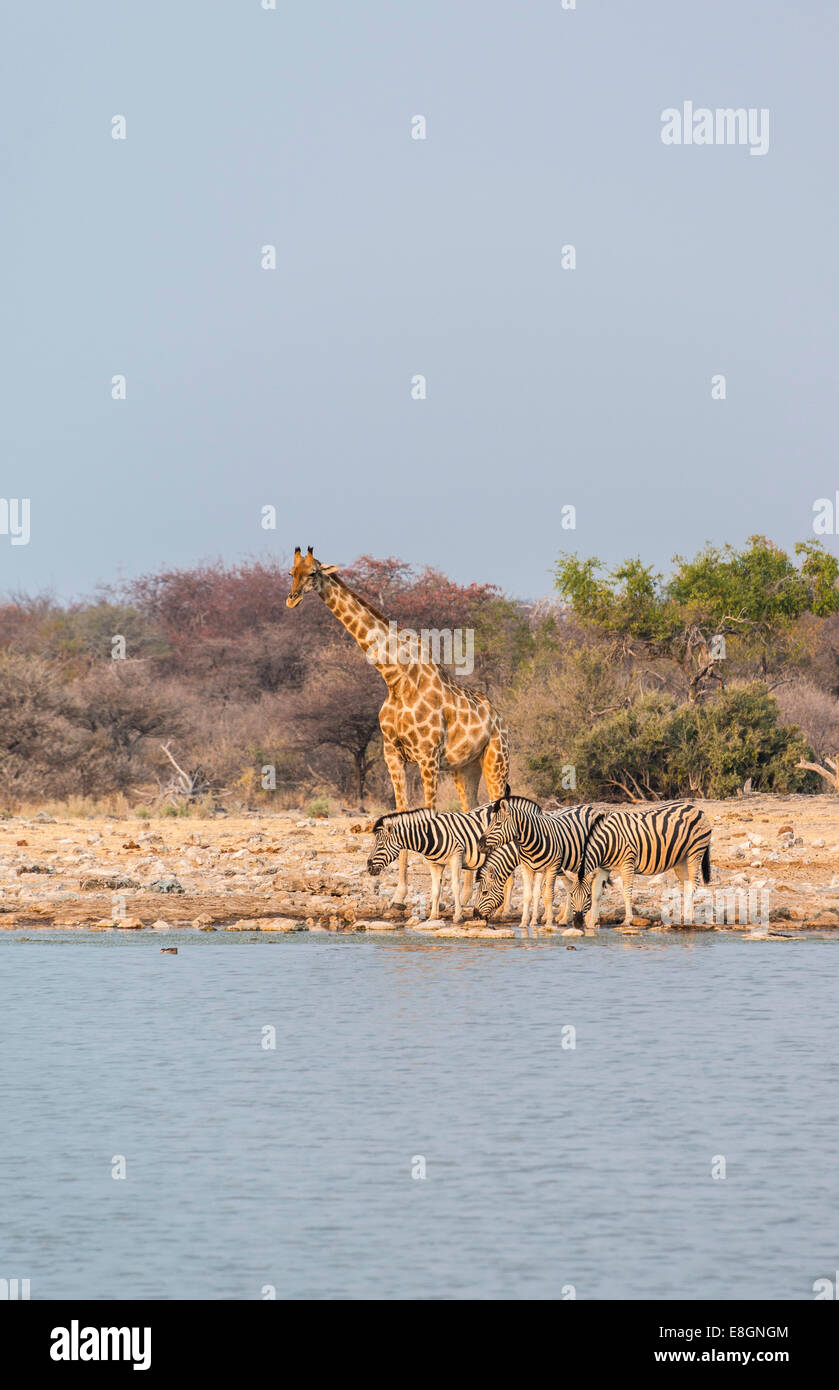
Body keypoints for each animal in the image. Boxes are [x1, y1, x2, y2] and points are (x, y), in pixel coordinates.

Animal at [286, 547, 511, 906]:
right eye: (291, 572)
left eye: (313, 573)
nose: (291, 599)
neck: (395, 677)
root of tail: (499, 718)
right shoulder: (393, 754)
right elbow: (401, 813)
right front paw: (401, 894)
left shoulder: (427, 757)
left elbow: (430, 819)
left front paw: (438, 898)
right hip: (465, 769)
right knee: (472, 812)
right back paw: (467, 894)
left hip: (496, 761)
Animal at [369, 806, 516, 922]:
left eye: (380, 845)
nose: (369, 867)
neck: (431, 836)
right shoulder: (435, 864)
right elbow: (435, 890)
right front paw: (433, 916)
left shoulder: (456, 858)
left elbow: (455, 887)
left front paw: (458, 916)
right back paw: (500, 912)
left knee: (509, 883)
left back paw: (505, 913)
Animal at [475, 800, 600, 928]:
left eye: (484, 893)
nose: (476, 916)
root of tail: (589, 808)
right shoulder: (531, 868)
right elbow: (532, 894)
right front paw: (529, 921)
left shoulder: (551, 867)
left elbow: (547, 894)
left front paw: (548, 921)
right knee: (572, 886)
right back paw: (566, 918)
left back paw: (589, 919)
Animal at [566, 800, 711, 928]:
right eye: (571, 894)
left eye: (587, 896)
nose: (577, 924)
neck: (607, 842)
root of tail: (696, 808)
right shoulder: (604, 868)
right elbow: (597, 892)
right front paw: (591, 923)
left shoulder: (628, 863)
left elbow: (626, 891)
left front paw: (627, 920)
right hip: (680, 860)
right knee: (688, 884)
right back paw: (688, 917)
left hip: (695, 851)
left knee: (694, 883)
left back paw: (687, 916)